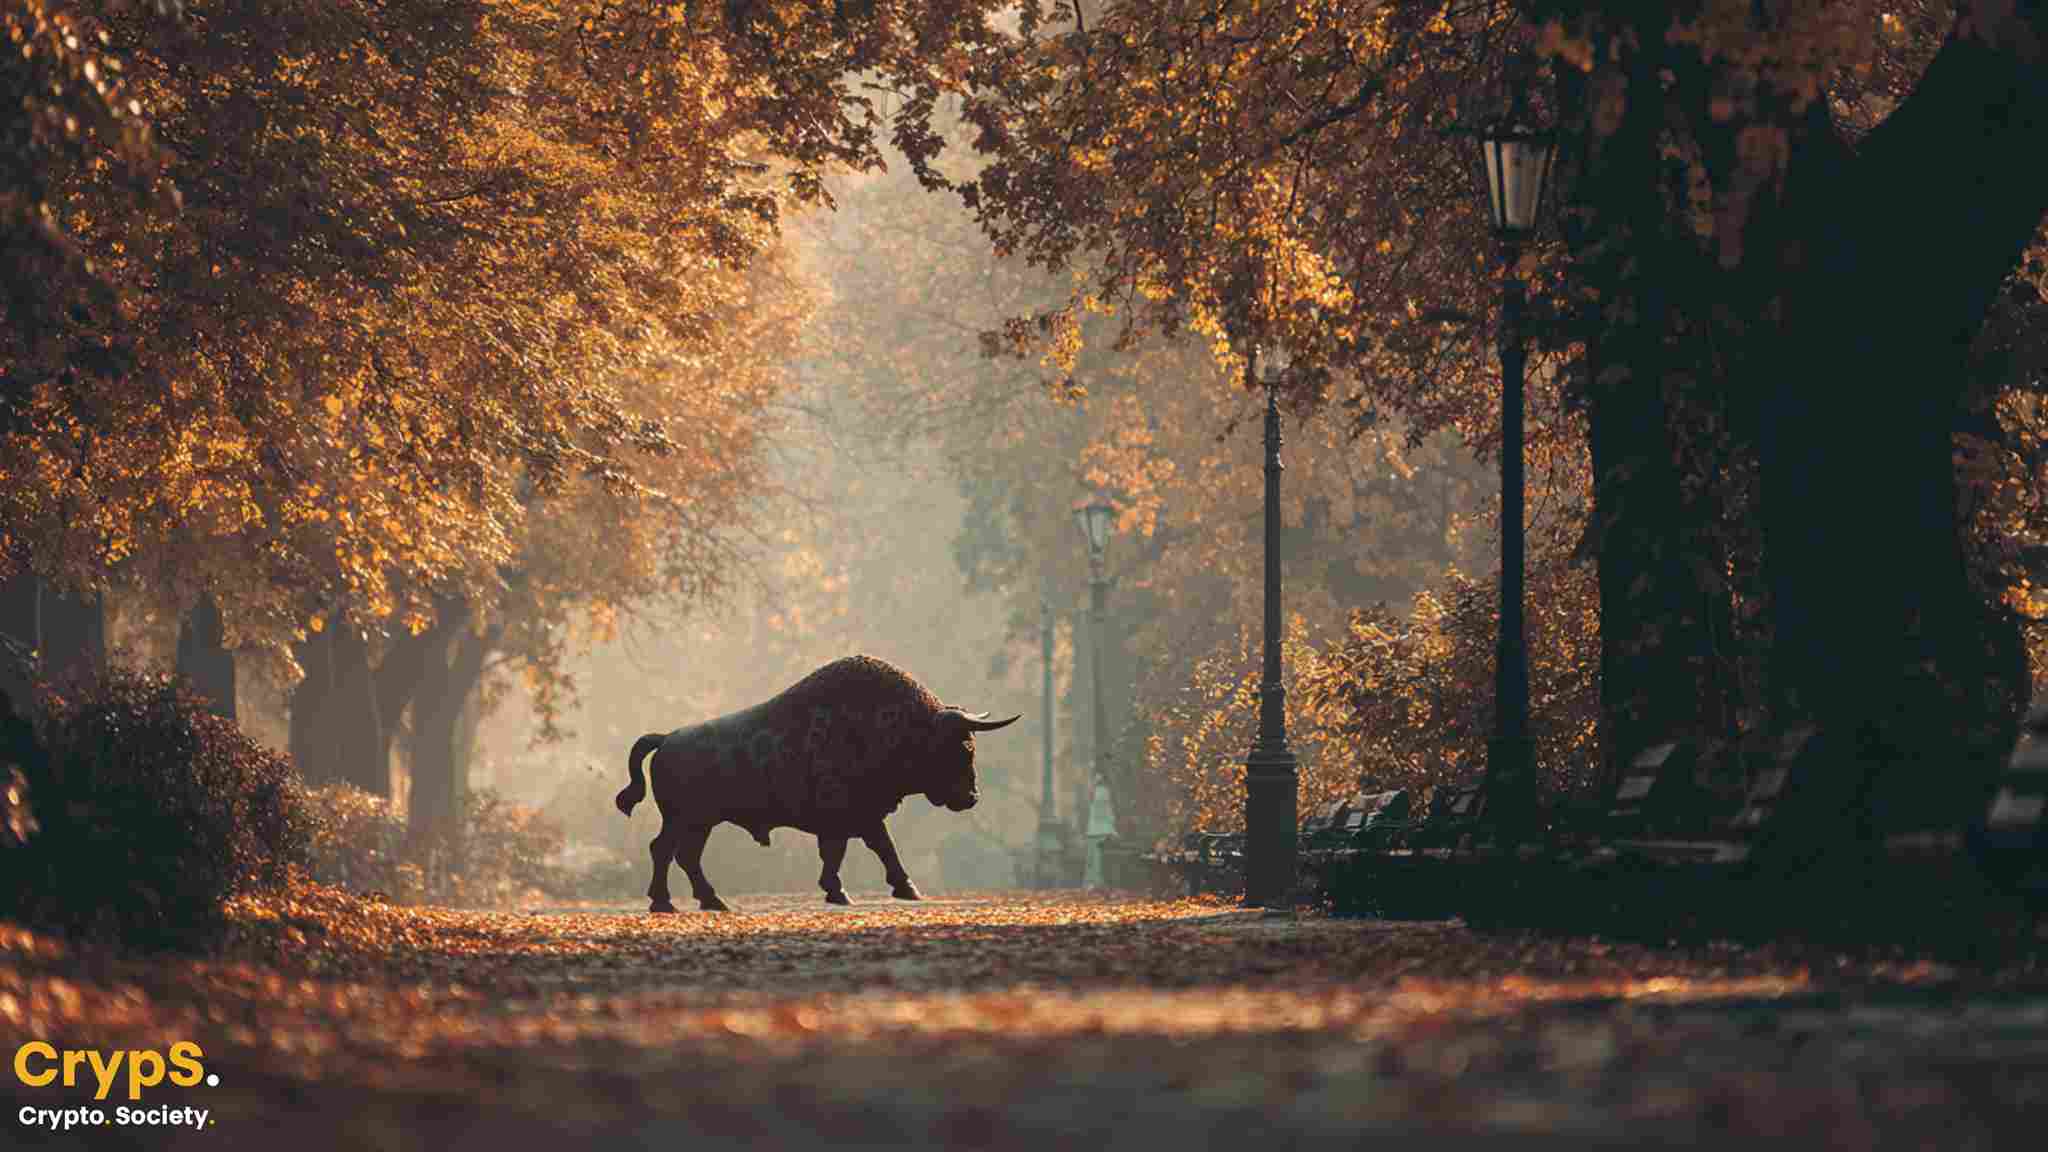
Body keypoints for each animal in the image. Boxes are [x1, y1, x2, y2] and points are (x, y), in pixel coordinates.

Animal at [615, 654, 1020, 912]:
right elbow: (868, 849)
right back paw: (665, 903)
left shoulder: (856, 818)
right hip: (686, 820)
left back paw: (712, 902)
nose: (971, 796)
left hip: (700, 823)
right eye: (960, 747)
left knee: (684, 856)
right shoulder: (852, 815)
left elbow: (860, 850)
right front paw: (891, 890)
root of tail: (667, 738)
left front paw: (850, 891)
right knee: (664, 850)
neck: (894, 725)